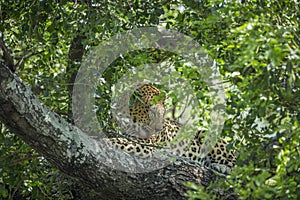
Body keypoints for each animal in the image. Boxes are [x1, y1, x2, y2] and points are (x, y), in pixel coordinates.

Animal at [108, 82, 237, 173]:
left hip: (206, 134)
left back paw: (222, 167)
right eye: (152, 112)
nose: (159, 129)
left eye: (163, 113)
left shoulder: (146, 143)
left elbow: (117, 141)